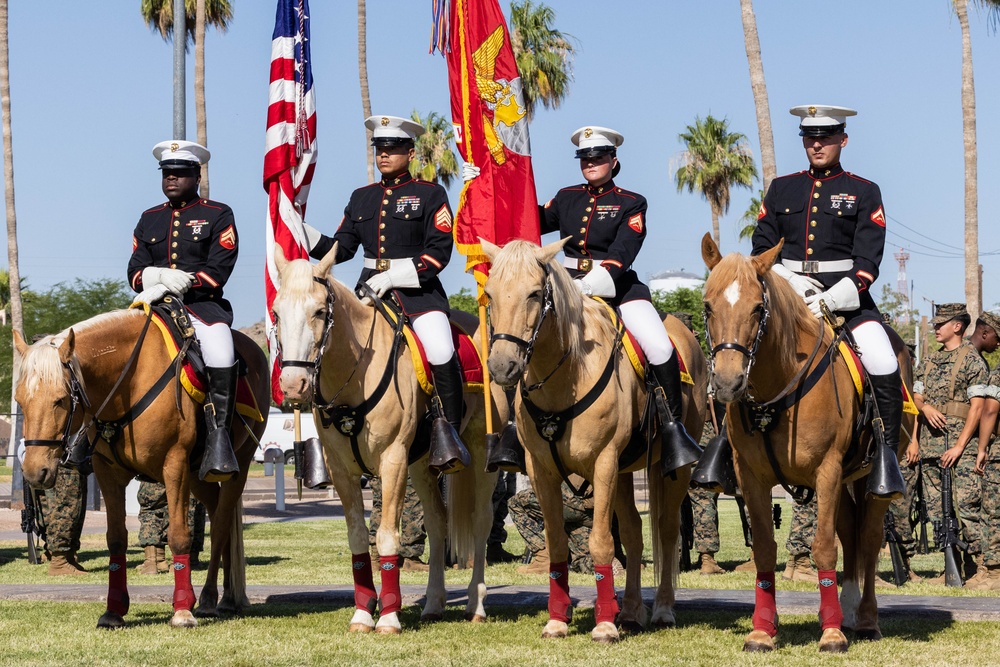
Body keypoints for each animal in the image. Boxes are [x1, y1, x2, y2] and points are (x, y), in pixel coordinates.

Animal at [14, 310, 270, 628]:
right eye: (19, 400)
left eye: (60, 399)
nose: (34, 471)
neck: (129, 381)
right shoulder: (108, 473)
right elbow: (116, 539)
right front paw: (114, 609)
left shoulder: (174, 466)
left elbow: (179, 536)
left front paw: (182, 609)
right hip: (198, 474)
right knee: (216, 511)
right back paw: (224, 597)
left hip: (238, 466)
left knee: (222, 523)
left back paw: (212, 598)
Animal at [270, 247, 504, 636]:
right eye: (276, 312)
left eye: (319, 311)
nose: (292, 385)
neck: (355, 373)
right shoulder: (342, 470)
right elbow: (357, 537)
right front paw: (364, 612)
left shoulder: (392, 461)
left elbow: (386, 536)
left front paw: (390, 616)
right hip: (423, 465)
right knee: (437, 522)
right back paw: (434, 604)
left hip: (481, 456)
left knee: (481, 521)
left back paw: (476, 604)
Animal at [480, 239, 708, 640]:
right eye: (490, 294)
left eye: (535, 293)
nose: (502, 367)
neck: (565, 376)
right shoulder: (542, 471)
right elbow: (557, 542)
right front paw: (557, 619)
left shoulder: (603, 463)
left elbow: (601, 542)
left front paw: (603, 624)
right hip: (624, 472)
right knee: (633, 533)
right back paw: (630, 611)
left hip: (669, 469)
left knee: (666, 531)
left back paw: (663, 609)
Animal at [704, 236, 916, 652]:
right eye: (707, 305)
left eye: (758, 308)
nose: (727, 383)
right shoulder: (752, 477)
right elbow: (765, 548)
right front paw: (762, 629)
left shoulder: (827, 470)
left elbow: (823, 547)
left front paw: (831, 634)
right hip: (846, 479)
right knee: (850, 533)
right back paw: (846, 609)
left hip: (870, 478)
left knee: (868, 539)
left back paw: (865, 619)